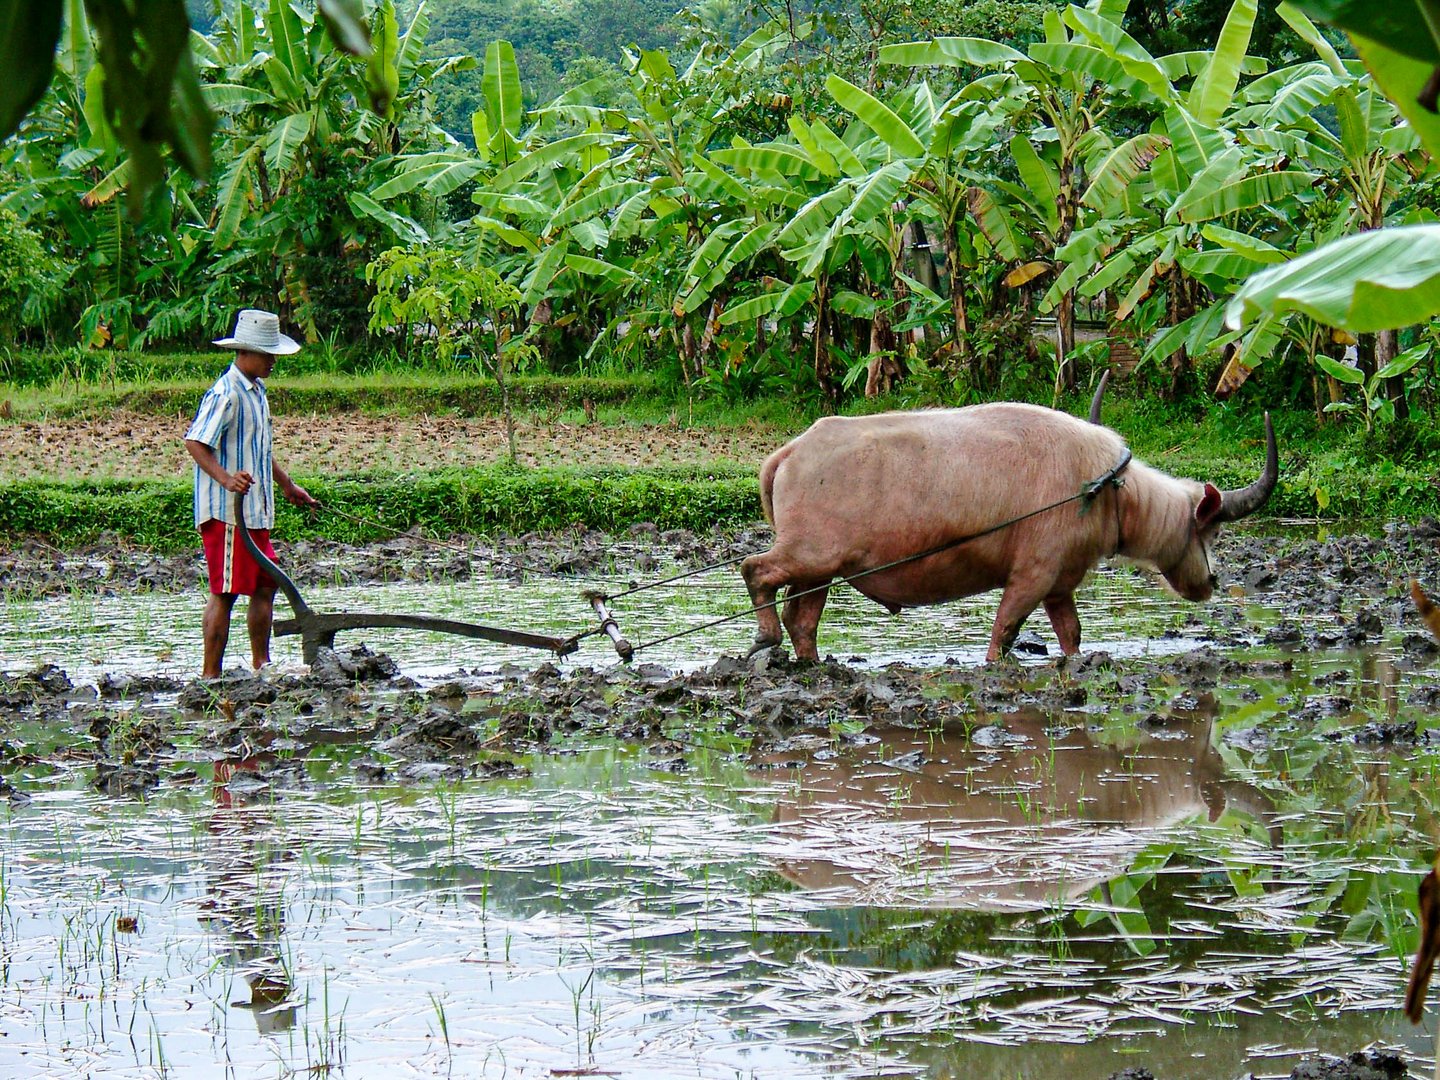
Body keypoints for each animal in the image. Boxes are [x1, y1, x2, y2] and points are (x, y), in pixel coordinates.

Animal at [737, 400, 1278, 659]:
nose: (1210, 582)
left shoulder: (1060, 585)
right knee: (755, 570)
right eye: (1213, 532)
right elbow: (1005, 630)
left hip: (820, 571)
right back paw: (763, 637)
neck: (1101, 488)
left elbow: (1071, 633)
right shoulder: (1031, 576)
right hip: (811, 554)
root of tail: (792, 451)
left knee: (802, 619)